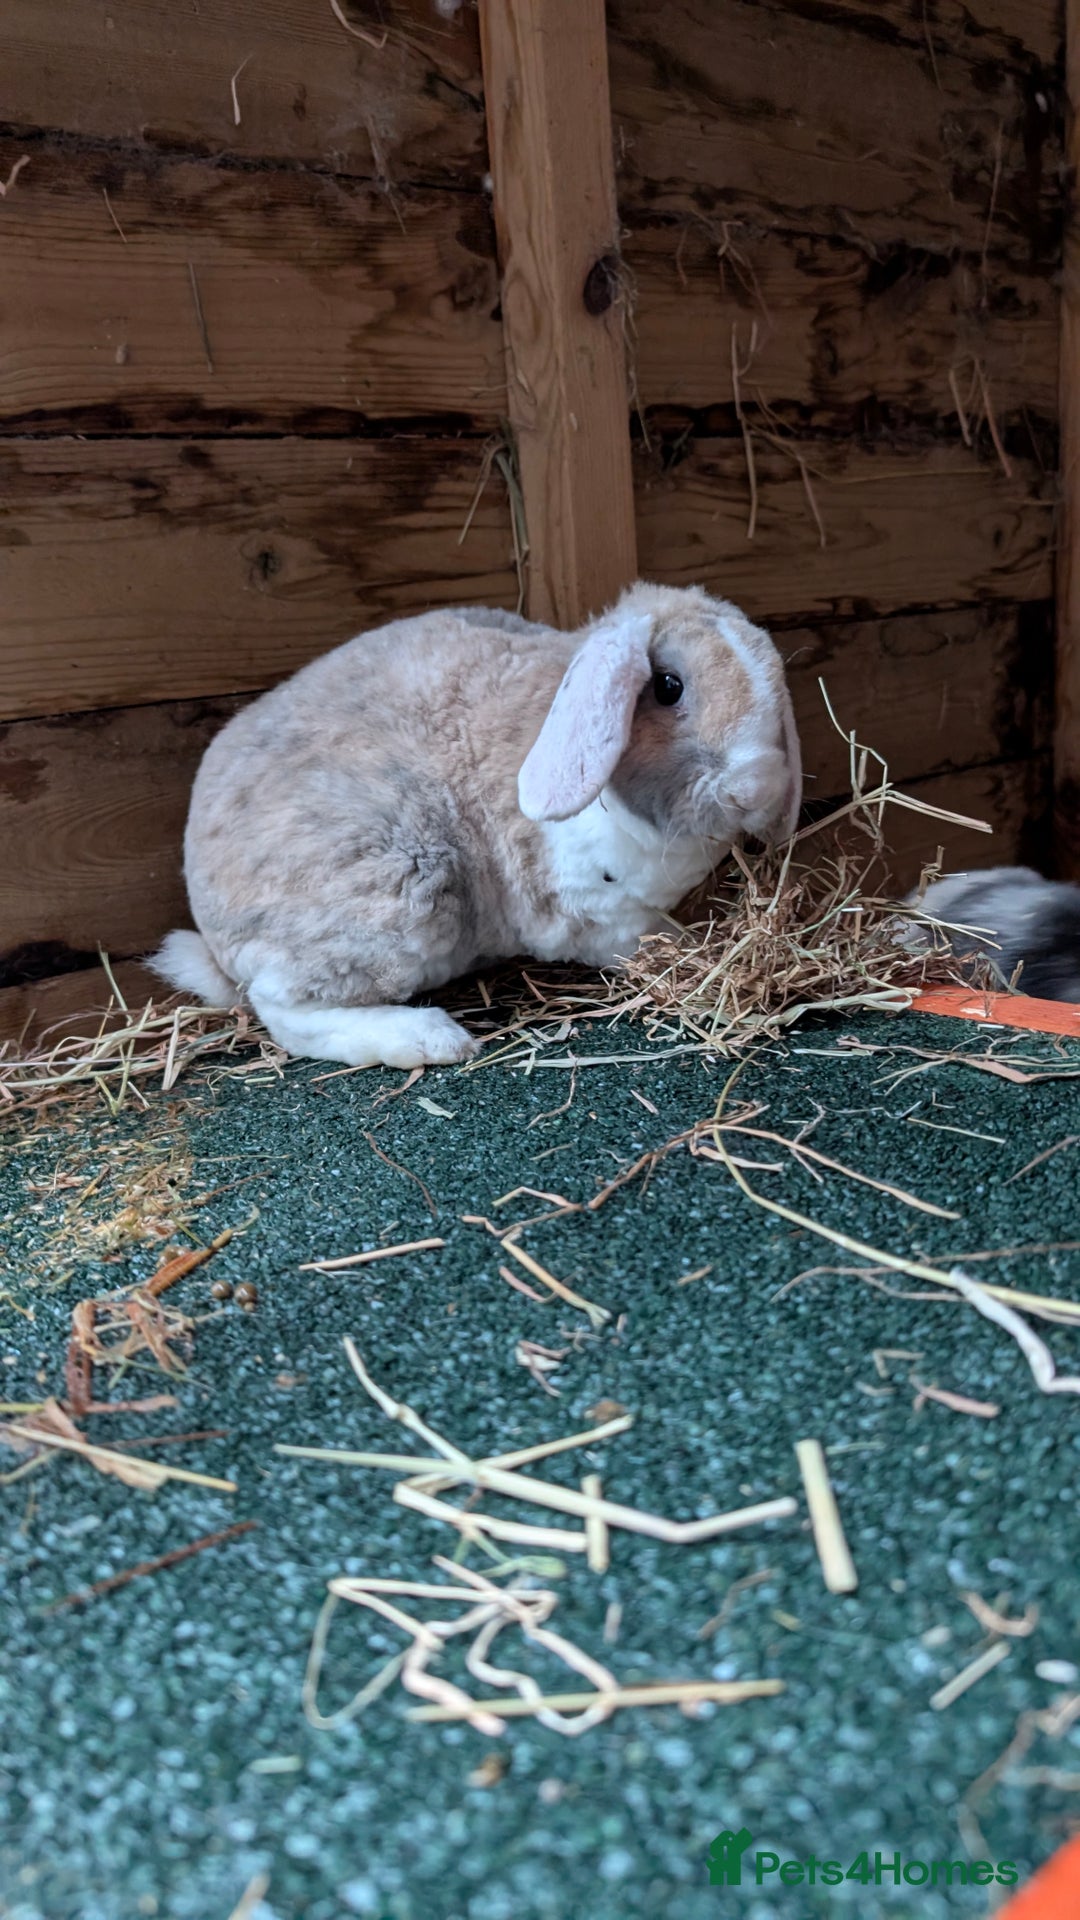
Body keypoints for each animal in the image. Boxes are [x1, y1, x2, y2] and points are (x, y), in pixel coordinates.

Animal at [151, 581, 802, 1068]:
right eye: (669, 687)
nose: (755, 788)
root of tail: (213, 936)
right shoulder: (599, 909)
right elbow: (646, 939)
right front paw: (695, 951)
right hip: (402, 893)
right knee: (284, 1010)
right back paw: (431, 1040)